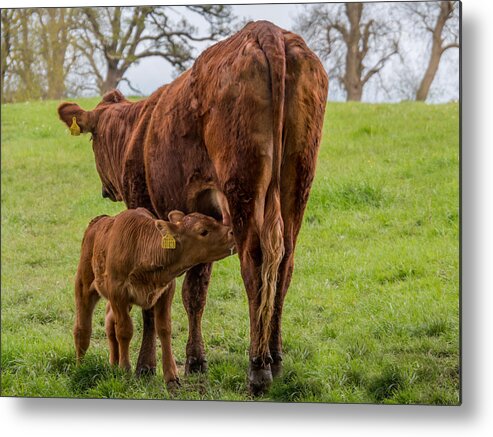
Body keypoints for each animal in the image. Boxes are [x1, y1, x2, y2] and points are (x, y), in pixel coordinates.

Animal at [73, 208, 234, 384]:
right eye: (203, 231)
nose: (232, 232)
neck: (142, 247)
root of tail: (97, 222)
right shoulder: (118, 292)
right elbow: (124, 330)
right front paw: (126, 370)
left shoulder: (166, 291)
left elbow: (164, 329)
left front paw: (171, 376)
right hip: (84, 285)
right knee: (82, 327)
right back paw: (80, 366)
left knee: (109, 322)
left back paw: (114, 363)